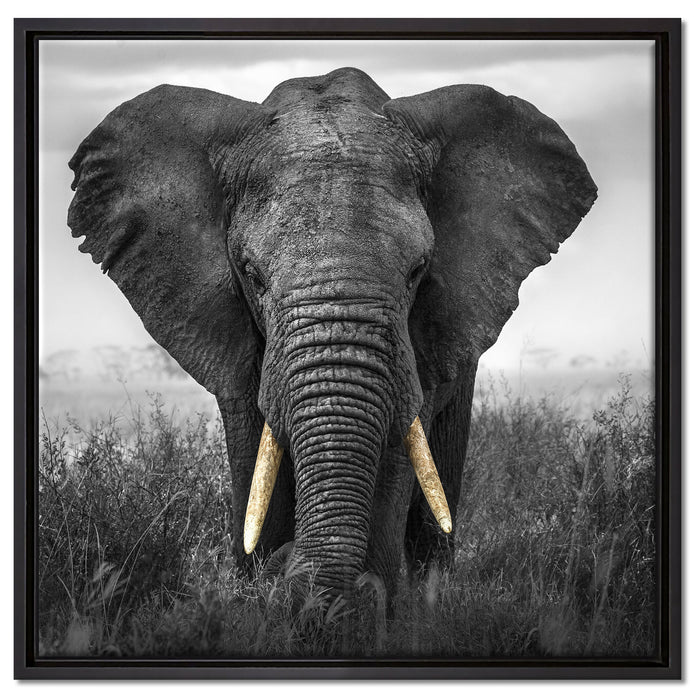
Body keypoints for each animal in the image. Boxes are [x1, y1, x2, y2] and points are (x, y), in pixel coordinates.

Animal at [67, 67, 596, 605]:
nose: (287, 567)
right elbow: (254, 449)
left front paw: (365, 604)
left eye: (417, 272)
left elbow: (397, 446)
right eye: (251, 275)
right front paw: (260, 591)